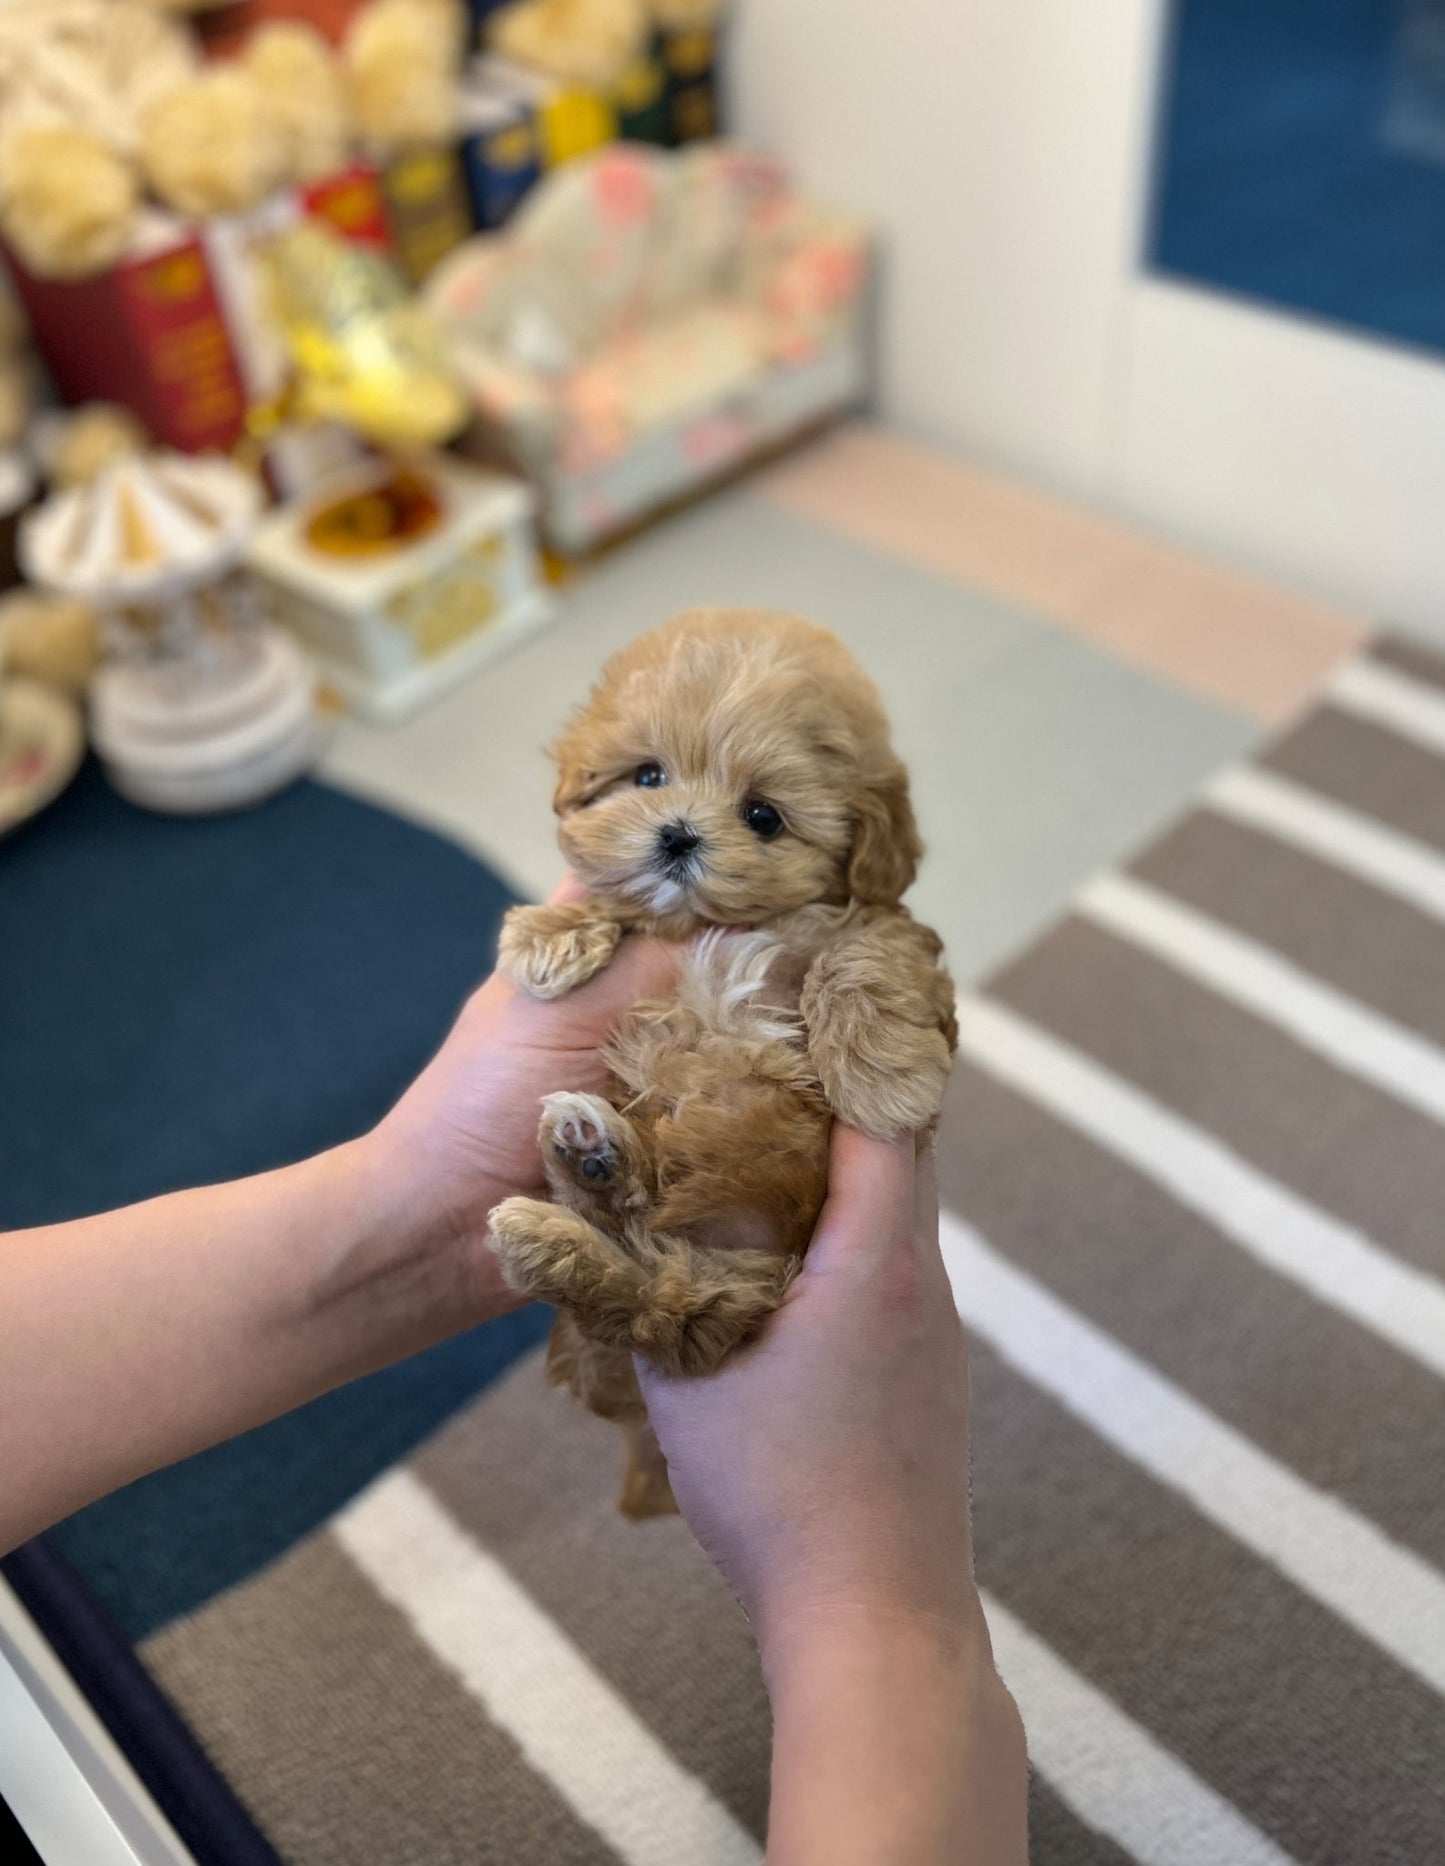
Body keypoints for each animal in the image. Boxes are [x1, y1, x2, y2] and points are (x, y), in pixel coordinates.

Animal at [492, 612, 955, 1515]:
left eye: (763, 816)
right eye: (647, 774)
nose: (676, 833)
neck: (716, 924)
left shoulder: (882, 923)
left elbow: (861, 956)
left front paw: (882, 1079)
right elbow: (610, 904)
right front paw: (551, 937)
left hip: (742, 1285)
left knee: (664, 1312)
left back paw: (571, 1190)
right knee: (644, 1297)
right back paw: (578, 1171)